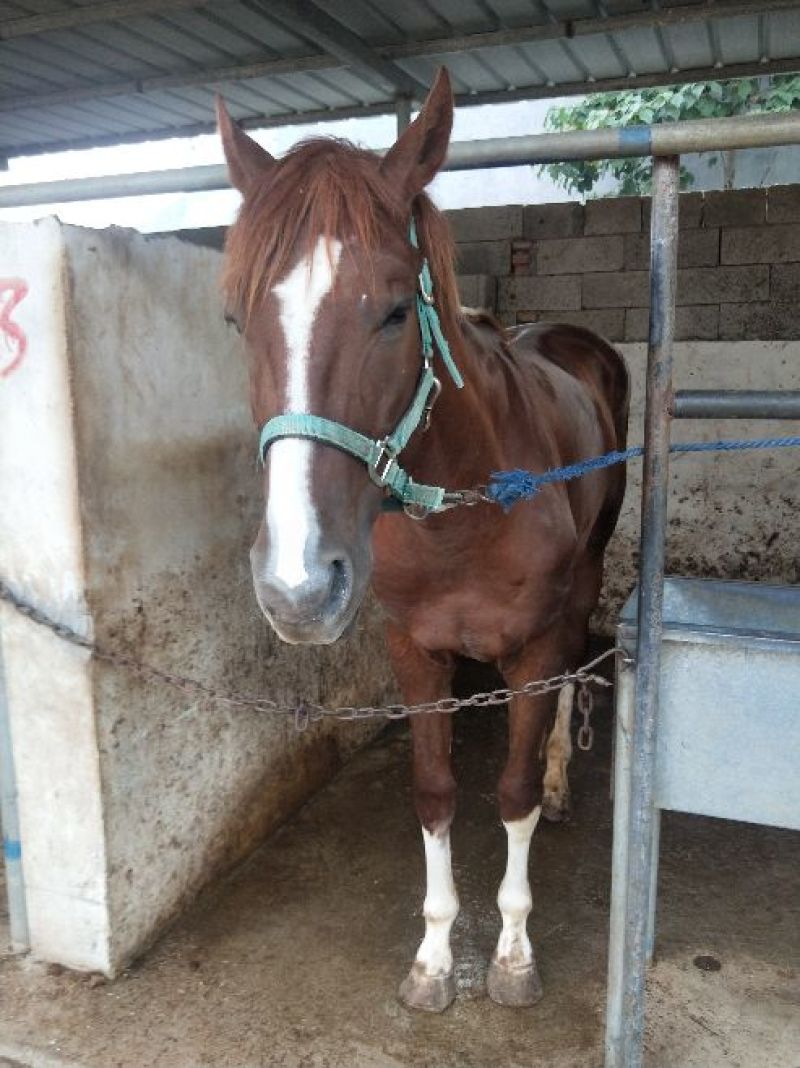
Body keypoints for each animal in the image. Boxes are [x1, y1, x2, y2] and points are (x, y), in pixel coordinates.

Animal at [217, 67, 629, 1014]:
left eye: (399, 310)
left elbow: (511, 792)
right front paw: (436, 958)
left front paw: (512, 954)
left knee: (575, 668)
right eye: (236, 320)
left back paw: (564, 775)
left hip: (590, 572)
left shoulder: (529, 650)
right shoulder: (415, 651)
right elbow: (436, 794)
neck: (464, 510)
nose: (299, 587)